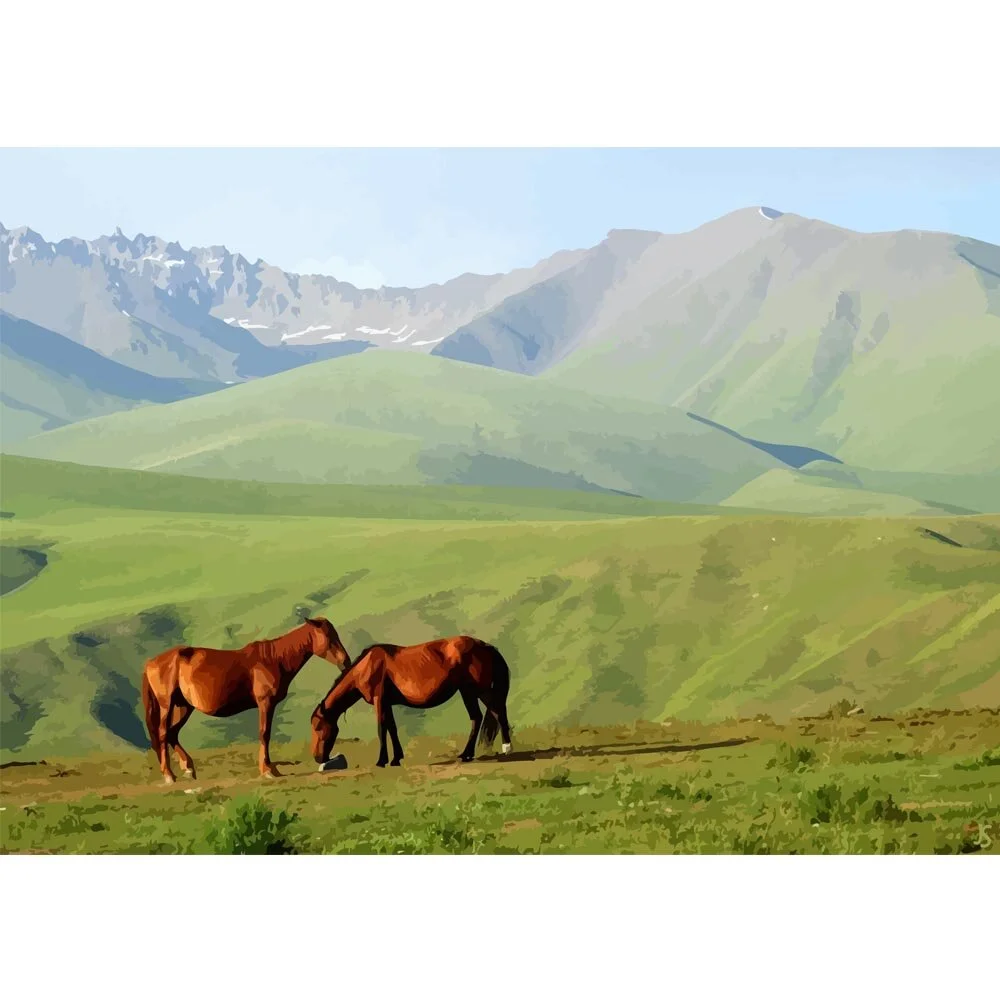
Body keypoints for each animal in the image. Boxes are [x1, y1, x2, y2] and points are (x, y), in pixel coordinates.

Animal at [141, 617, 350, 783]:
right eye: (329, 638)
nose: (346, 662)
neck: (274, 659)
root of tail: (151, 662)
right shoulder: (265, 703)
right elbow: (264, 734)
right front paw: (267, 770)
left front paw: (271, 769)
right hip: (167, 704)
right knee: (163, 733)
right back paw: (169, 775)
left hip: (184, 706)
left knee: (172, 733)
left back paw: (188, 768)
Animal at [310, 635, 513, 768]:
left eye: (318, 727)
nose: (318, 758)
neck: (366, 666)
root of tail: (485, 646)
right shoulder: (387, 703)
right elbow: (391, 728)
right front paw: (396, 758)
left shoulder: (379, 700)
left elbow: (381, 728)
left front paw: (381, 761)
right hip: (467, 692)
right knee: (477, 717)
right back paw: (467, 754)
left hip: (478, 690)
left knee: (497, 711)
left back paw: (506, 748)